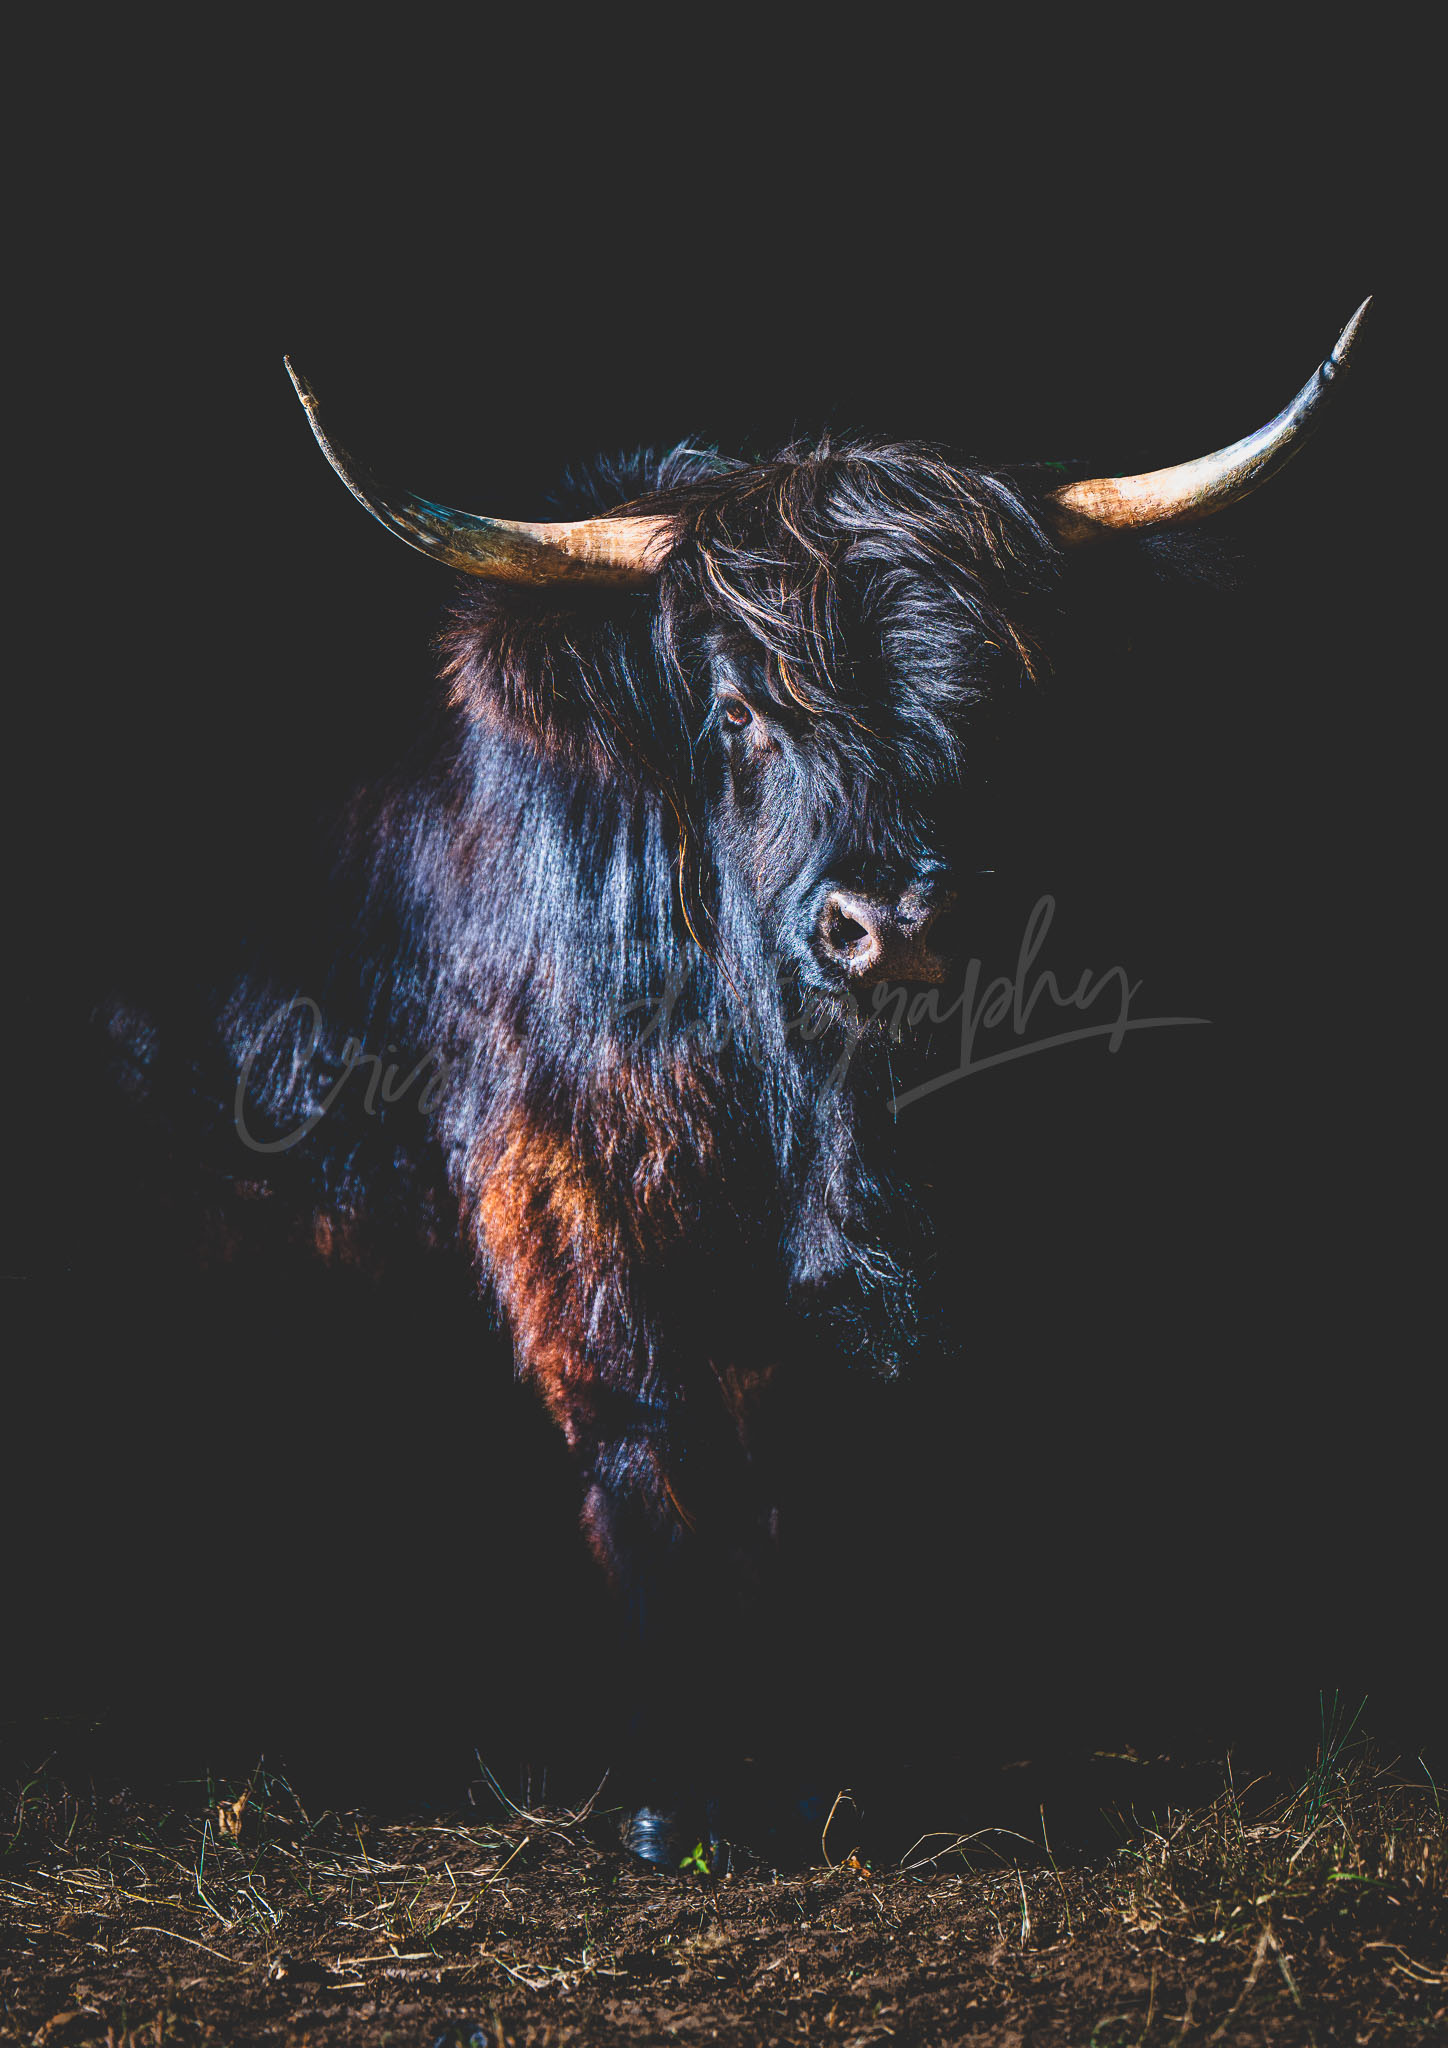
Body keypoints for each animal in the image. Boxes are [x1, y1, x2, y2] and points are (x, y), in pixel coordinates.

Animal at [105, 300, 1368, 1863]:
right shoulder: (571, 1190)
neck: (799, 1113)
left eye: (997, 699)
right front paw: (680, 1801)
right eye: (736, 713)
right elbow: (655, 1450)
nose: (891, 923)